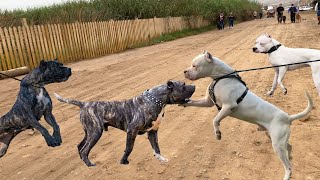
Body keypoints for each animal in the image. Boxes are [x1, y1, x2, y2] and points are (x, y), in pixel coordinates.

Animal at [54, 81, 195, 167]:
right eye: (183, 85)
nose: (194, 86)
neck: (156, 100)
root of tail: (84, 104)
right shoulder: (131, 130)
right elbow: (129, 148)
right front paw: (123, 161)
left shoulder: (152, 132)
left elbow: (156, 148)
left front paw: (161, 159)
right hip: (95, 133)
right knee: (84, 149)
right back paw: (89, 164)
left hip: (89, 132)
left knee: (80, 146)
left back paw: (83, 161)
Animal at [182, 50, 312, 180]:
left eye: (194, 66)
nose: (184, 71)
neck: (222, 77)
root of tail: (288, 117)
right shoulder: (207, 102)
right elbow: (193, 103)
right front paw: (182, 102)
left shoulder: (228, 106)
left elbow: (215, 120)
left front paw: (217, 133)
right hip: (275, 138)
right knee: (289, 147)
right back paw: (290, 154)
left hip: (277, 145)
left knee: (288, 166)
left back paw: (286, 174)